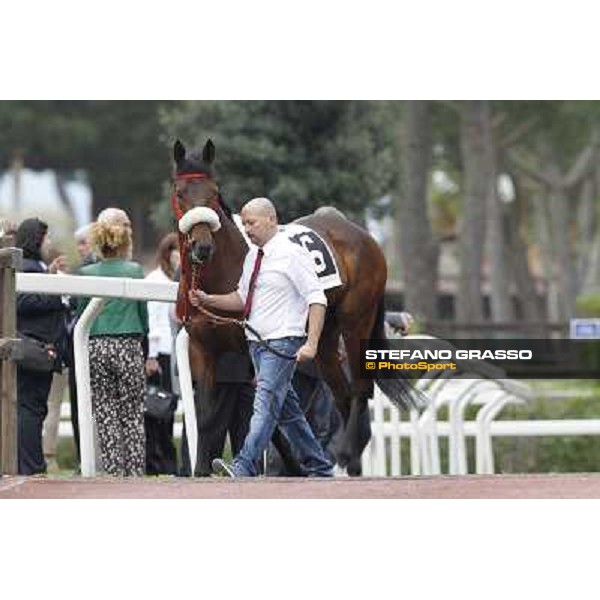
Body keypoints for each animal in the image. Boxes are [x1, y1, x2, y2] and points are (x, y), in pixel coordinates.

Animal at [171, 137, 420, 474]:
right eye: (180, 193)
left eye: (213, 192)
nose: (202, 246)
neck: (222, 274)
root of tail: (363, 235)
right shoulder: (204, 349)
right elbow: (207, 415)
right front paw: (201, 470)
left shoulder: (254, 347)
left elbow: (269, 409)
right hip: (324, 336)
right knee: (341, 393)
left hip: (357, 320)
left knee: (359, 388)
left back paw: (348, 453)